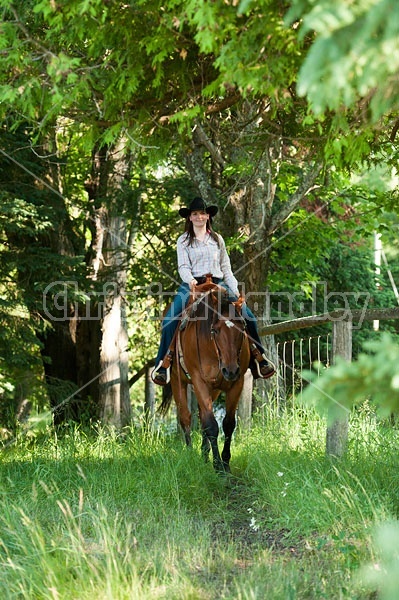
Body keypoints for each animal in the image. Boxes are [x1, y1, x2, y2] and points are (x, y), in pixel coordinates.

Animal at [159, 282, 250, 474]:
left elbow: (228, 424)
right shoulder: (199, 381)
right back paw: (190, 453)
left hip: (214, 389)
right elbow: (211, 424)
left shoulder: (236, 383)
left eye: (243, 328)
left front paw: (225, 463)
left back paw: (204, 454)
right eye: (215, 330)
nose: (230, 370)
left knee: (201, 416)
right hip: (178, 381)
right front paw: (217, 465)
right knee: (185, 417)